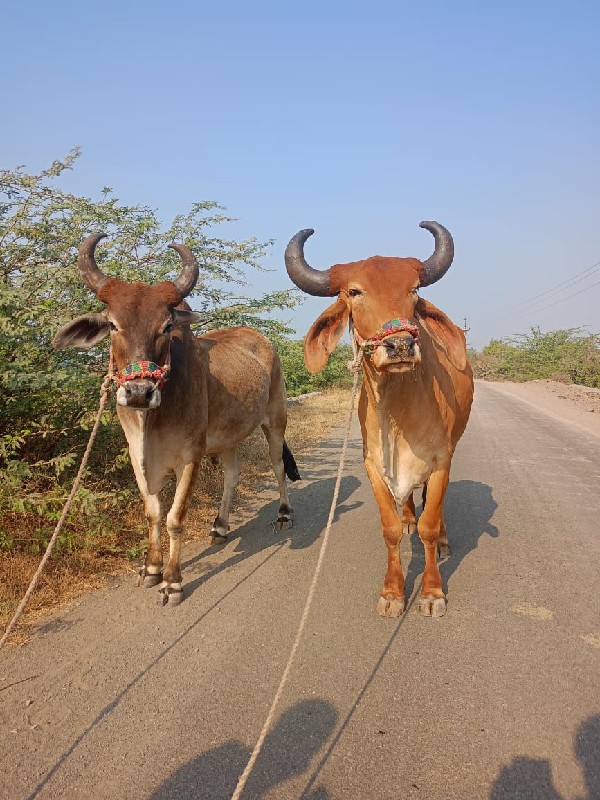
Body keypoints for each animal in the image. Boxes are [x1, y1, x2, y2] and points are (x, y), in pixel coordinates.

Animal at [52, 236, 300, 608]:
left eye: (166, 326)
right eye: (112, 324)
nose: (139, 392)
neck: (151, 421)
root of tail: (260, 339)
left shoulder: (190, 456)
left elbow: (175, 517)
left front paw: (172, 581)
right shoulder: (136, 455)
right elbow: (153, 512)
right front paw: (152, 568)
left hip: (275, 419)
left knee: (277, 465)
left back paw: (283, 514)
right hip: (227, 437)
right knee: (232, 474)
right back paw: (220, 526)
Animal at [286, 220, 474, 620]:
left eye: (414, 289)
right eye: (354, 291)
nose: (400, 346)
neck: (397, 409)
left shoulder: (441, 460)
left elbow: (430, 524)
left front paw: (431, 592)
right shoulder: (372, 463)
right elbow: (389, 529)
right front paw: (392, 592)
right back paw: (408, 517)